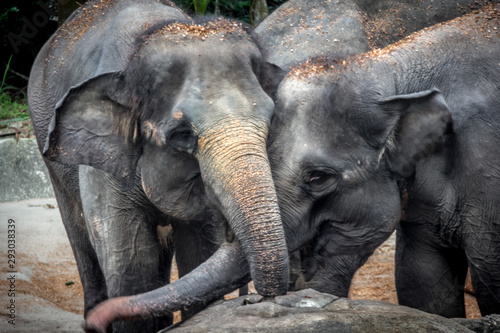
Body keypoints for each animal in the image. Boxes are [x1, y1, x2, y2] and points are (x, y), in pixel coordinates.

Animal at [29, 1, 288, 330]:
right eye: (183, 134)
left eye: (271, 120)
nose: (256, 298)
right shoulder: (105, 167)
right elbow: (132, 268)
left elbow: (200, 252)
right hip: (48, 149)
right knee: (80, 236)